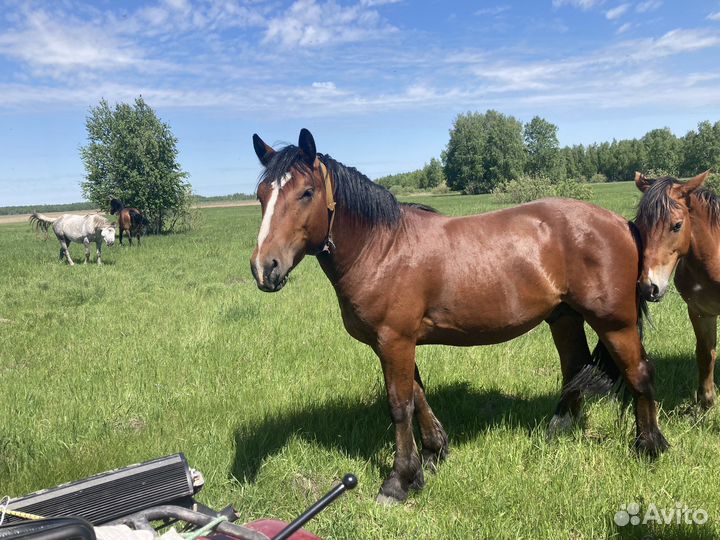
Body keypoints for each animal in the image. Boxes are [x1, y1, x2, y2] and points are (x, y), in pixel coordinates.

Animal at [249, 128, 668, 504]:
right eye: (261, 195)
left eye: (306, 192)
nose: (264, 268)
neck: (382, 248)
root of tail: (621, 223)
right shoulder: (397, 343)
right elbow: (417, 396)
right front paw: (433, 456)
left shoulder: (394, 341)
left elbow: (399, 405)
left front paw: (398, 482)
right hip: (564, 317)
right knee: (575, 369)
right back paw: (557, 433)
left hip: (615, 322)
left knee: (639, 373)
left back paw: (650, 446)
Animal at [634, 170, 717, 408]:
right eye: (639, 225)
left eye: (677, 225)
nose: (648, 287)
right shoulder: (700, 311)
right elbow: (705, 353)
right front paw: (706, 400)